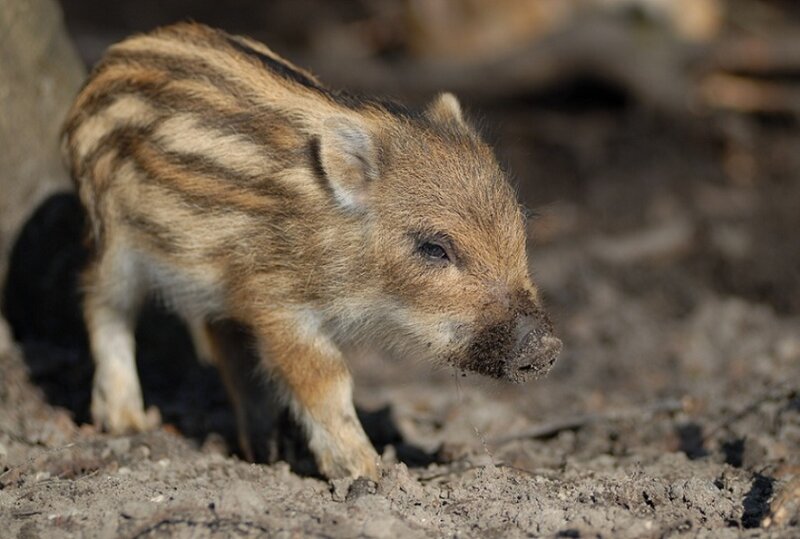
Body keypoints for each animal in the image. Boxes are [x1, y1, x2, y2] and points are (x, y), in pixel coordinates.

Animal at [61, 23, 562, 480]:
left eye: (518, 229)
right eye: (434, 249)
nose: (546, 346)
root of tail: (109, 62)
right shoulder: (275, 298)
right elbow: (327, 377)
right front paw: (367, 471)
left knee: (225, 341)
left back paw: (265, 451)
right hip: (112, 237)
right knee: (101, 302)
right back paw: (126, 421)